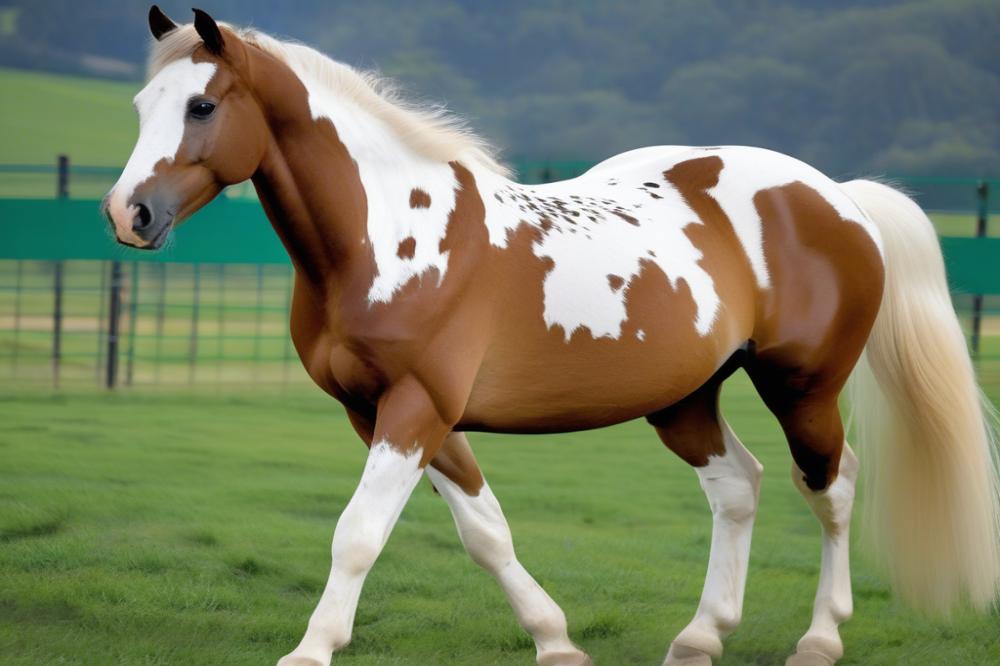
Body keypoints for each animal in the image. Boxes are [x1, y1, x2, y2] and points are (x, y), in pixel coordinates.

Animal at [103, 7, 1000, 665]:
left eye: (202, 105)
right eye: (142, 107)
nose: (128, 214)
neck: (385, 234)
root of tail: (836, 196)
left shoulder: (417, 407)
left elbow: (358, 534)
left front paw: (312, 649)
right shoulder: (391, 414)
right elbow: (484, 532)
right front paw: (556, 639)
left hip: (802, 385)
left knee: (831, 485)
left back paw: (819, 638)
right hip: (686, 400)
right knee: (738, 487)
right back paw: (699, 637)